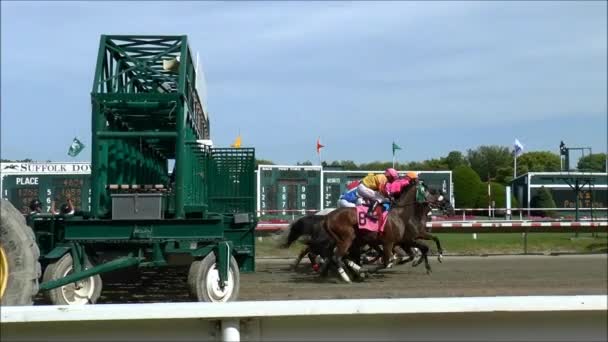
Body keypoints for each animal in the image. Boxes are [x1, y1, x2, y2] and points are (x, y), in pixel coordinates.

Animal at [324, 179, 452, 284]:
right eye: (432, 192)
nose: (450, 208)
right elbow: (388, 261)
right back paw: (346, 276)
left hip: (355, 241)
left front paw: (434, 260)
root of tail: (328, 217)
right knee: (337, 257)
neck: (400, 215)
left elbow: (429, 243)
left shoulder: (409, 238)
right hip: (347, 239)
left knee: (342, 256)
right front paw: (366, 271)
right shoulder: (394, 241)